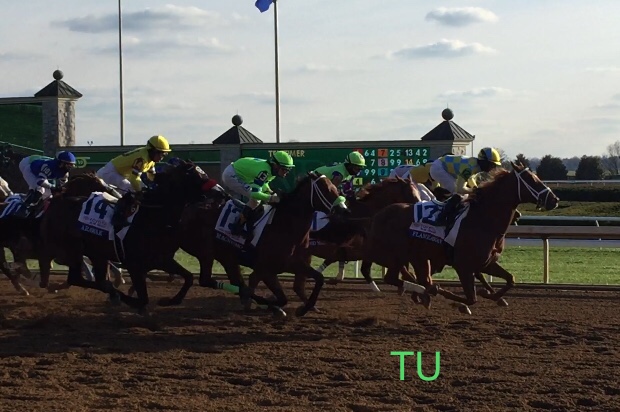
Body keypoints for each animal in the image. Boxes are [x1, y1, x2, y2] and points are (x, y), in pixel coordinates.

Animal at [36, 161, 219, 312]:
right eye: (198, 177)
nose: (220, 193)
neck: (153, 217)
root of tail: (58, 201)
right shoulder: (134, 265)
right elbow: (143, 299)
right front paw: (133, 301)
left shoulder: (163, 260)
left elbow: (188, 277)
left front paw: (170, 300)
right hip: (74, 251)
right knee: (80, 278)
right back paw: (115, 294)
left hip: (97, 254)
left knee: (96, 280)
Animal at [360, 163, 560, 314]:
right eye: (532, 180)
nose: (554, 199)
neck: (483, 220)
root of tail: (377, 215)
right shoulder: (463, 265)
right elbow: (471, 299)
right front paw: (461, 303)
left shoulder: (486, 263)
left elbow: (511, 279)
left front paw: (492, 295)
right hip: (395, 256)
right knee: (397, 278)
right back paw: (426, 293)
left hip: (415, 257)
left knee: (407, 278)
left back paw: (424, 293)